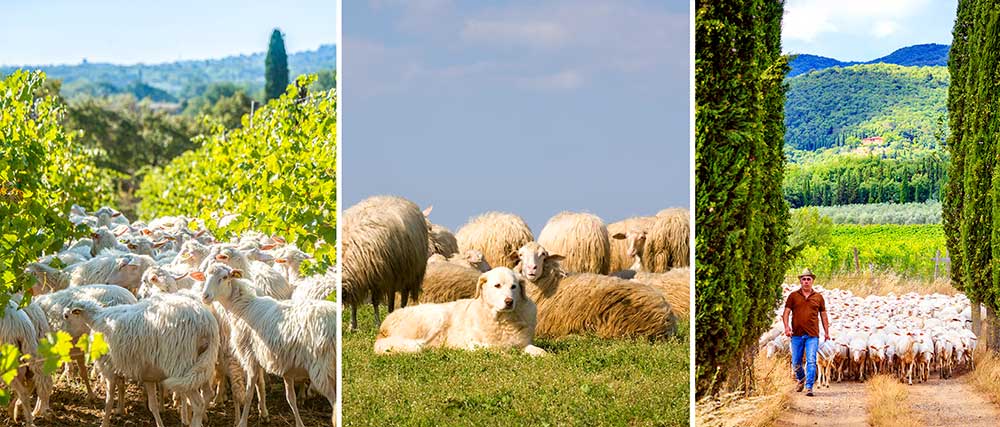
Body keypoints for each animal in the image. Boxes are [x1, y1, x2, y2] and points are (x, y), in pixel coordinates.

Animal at [201, 264, 338, 427]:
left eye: (224, 277)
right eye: (205, 276)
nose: (205, 296)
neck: (243, 308)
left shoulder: (250, 357)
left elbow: (249, 393)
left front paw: (243, 421)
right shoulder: (284, 365)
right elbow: (289, 398)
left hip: (323, 369)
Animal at [342, 196, 428, 330]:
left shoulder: (378, 278)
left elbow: (375, 301)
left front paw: (377, 324)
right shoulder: (359, 279)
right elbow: (353, 302)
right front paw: (352, 326)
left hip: (407, 274)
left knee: (403, 297)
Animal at [376, 268, 548, 358]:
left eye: (514, 287)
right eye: (497, 286)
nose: (509, 301)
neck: (502, 320)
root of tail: (382, 329)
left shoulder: (524, 344)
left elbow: (541, 351)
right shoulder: (474, 343)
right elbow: (496, 349)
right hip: (435, 317)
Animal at [508, 244, 680, 342]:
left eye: (543, 255)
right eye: (521, 255)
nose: (532, 269)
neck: (550, 284)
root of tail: (668, 318)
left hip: (618, 318)